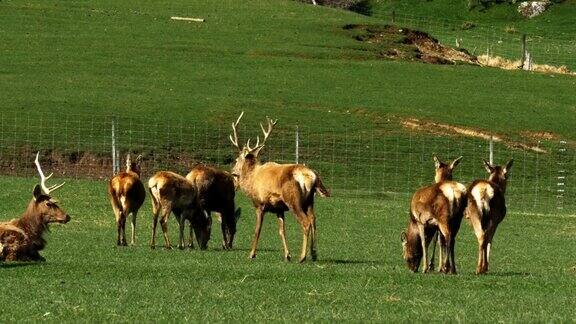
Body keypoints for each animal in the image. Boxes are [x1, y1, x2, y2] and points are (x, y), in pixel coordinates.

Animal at [228, 112, 328, 262]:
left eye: (236, 159)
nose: (233, 172)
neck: (251, 181)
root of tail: (310, 176)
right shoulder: (279, 208)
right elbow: (282, 231)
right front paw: (287, 255)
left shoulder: (260, 204)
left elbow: (257, 230)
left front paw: (251, 254)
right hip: (310, 200)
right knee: (313, 219)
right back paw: (314, 254)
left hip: (293, 200)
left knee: (305, 222)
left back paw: (302, 256)